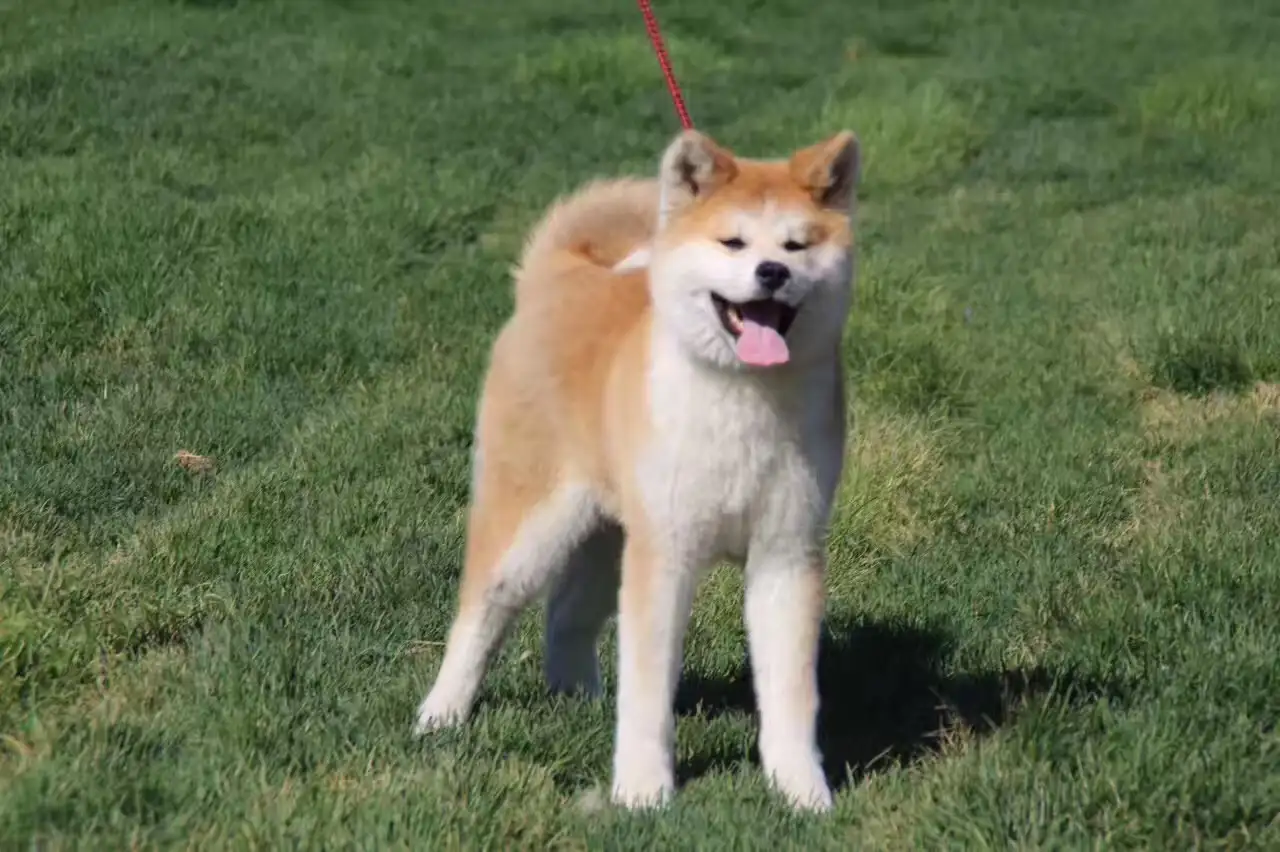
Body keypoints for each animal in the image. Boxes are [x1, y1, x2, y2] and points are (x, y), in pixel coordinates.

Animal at [414, 127, 865, 808]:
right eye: (732, 242)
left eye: (797, 244)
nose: (772, 272)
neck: (742, 395)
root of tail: (559, 274)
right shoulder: (666, 553)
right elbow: (650, 690)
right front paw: (643, 792)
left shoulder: (786, 552)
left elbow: (790, 693)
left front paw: (801, 793)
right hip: (531, 526)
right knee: (482, 612)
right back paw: (441, 714)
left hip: (607, 533)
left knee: (567, 616)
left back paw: (577, 702)